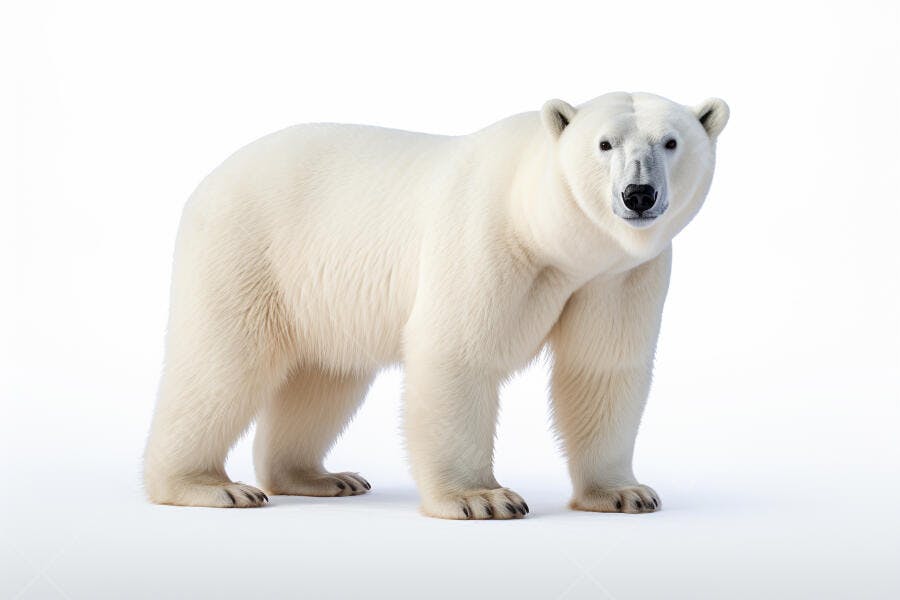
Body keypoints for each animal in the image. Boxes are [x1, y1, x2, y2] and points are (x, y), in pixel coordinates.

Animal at [144, 91, 729, 519]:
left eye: (671, 141)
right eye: (604, 143)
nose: (638, 194)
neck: (548, 231)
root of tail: (207, 180)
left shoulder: (617, 277)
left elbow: (602, 370)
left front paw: (625, 492)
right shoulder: (486, 236)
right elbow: (458, 354)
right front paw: (482, 498)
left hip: (321, 295)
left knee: (325, 379)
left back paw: (320, 476)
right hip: (247, 248)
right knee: (222, 365)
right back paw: (209, 486)